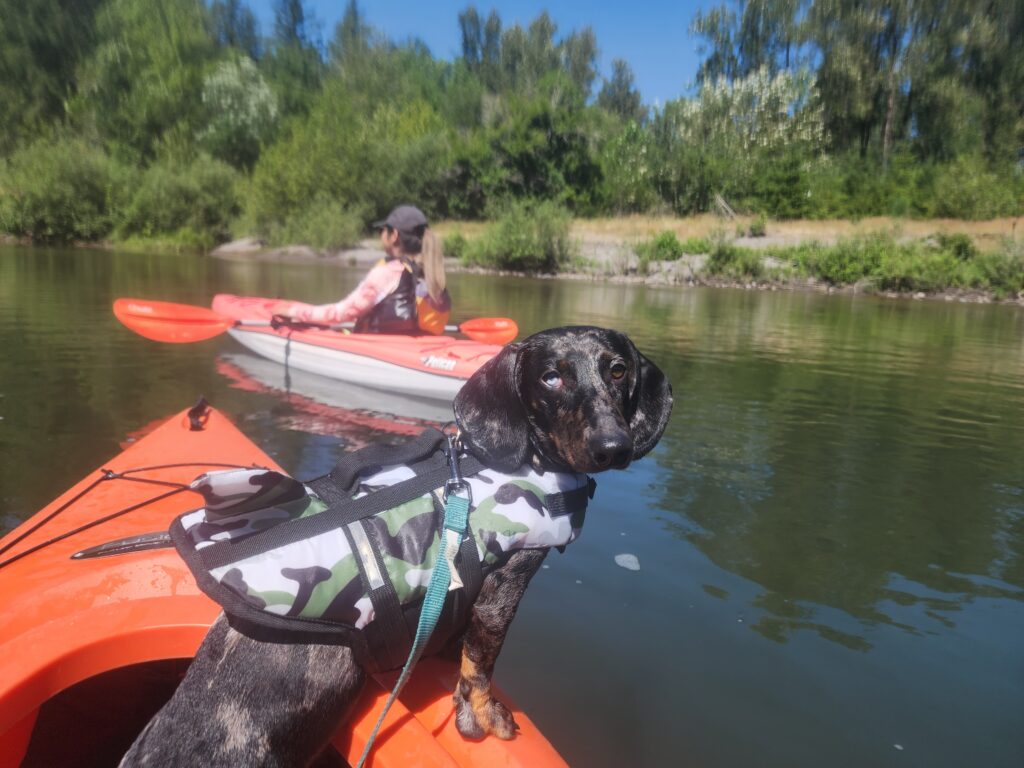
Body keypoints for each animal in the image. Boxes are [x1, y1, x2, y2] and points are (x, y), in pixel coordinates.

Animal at [119, 325, 671, 768]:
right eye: (551, 378)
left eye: (618, 370)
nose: (614, 447)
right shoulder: (506, 582)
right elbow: (481, 661)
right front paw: (483, 712)